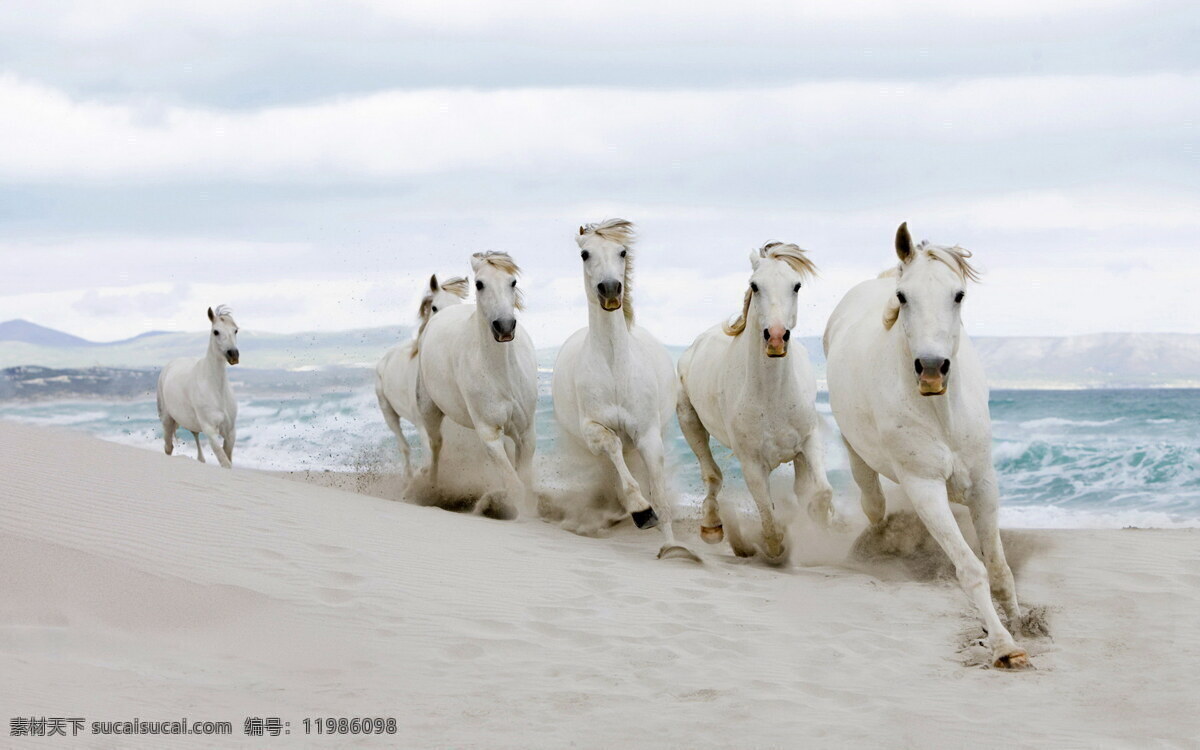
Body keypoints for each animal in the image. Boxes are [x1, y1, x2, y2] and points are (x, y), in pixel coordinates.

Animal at [374, 273, 468, 472]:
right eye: (434, 307)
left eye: (458, 305)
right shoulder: (422, 422)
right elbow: (429, 454)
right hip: (389, 413)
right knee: (404, 447)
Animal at [417, 254, 540, 518]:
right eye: (480, 283)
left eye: (513, 282)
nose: (504, 327)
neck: (503, 375)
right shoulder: (489, 433)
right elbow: (516, 485)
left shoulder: (526, 434)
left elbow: (524, 481)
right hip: (429, 411)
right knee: (435, 447)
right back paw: (430, 490)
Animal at [552, 219, 696, 559]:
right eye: (585, 254)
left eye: (622, 251)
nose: (610, 288)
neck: (614, 368)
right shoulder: (594, 430)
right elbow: (613, 447)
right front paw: (641, 511)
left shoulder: (648, 434)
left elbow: (659, 492)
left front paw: (673, 548)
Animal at [676, 241, 835, 561]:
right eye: (755, 285)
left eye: (796, 285)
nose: (775, 338)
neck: (772, 396)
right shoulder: (751, 463)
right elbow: (768, 517)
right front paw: (773, 547)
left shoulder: (808, 442)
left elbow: (821, 492)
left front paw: (819, 522)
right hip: (688, 420)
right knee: (712, 475)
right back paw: (712, 527)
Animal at [825, 222, 1032, 667]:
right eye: (903, 297)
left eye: (959, 295)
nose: (933, 370)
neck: (942, 414)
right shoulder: (925, 487)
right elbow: (972, 570)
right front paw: (1003, 645)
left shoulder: (984, 484)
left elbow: (999, 566)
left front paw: (1020, 625)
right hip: (860, 454)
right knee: (871, 499)